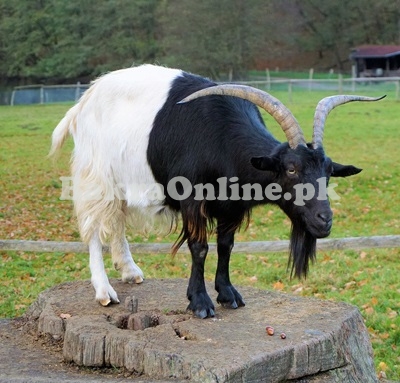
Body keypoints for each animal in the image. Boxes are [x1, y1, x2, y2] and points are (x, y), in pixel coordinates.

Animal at [50, 64, 384, 320]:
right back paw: (104, 290)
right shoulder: (191, 198)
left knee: (116, 222)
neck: (221, 140)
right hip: (96, 175)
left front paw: (227, 293)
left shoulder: (231, 206)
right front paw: (200, 302)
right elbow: (199, 248)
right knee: (94, 229)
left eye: (328, 171)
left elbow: (226, 246)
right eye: (291, 169)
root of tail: (83, 102)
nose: (324, 219)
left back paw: (131, 271)